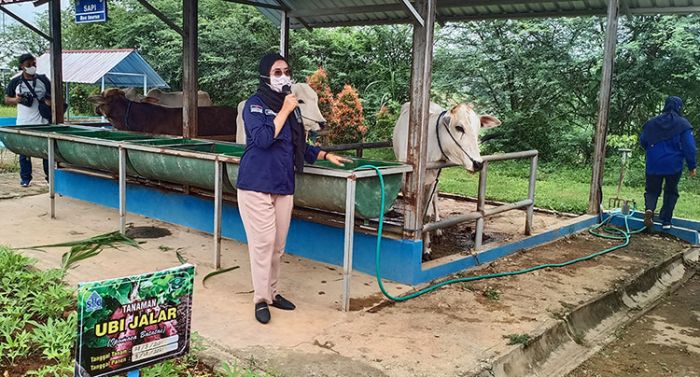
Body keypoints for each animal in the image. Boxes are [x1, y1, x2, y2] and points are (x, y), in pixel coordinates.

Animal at [394, 100, 504, 258]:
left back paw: (438, 230)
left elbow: (426, 216)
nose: (478, 163)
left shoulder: (432, 180)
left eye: (478, 129)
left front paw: (426, 249)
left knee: (435, 199)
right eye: (459, 127)